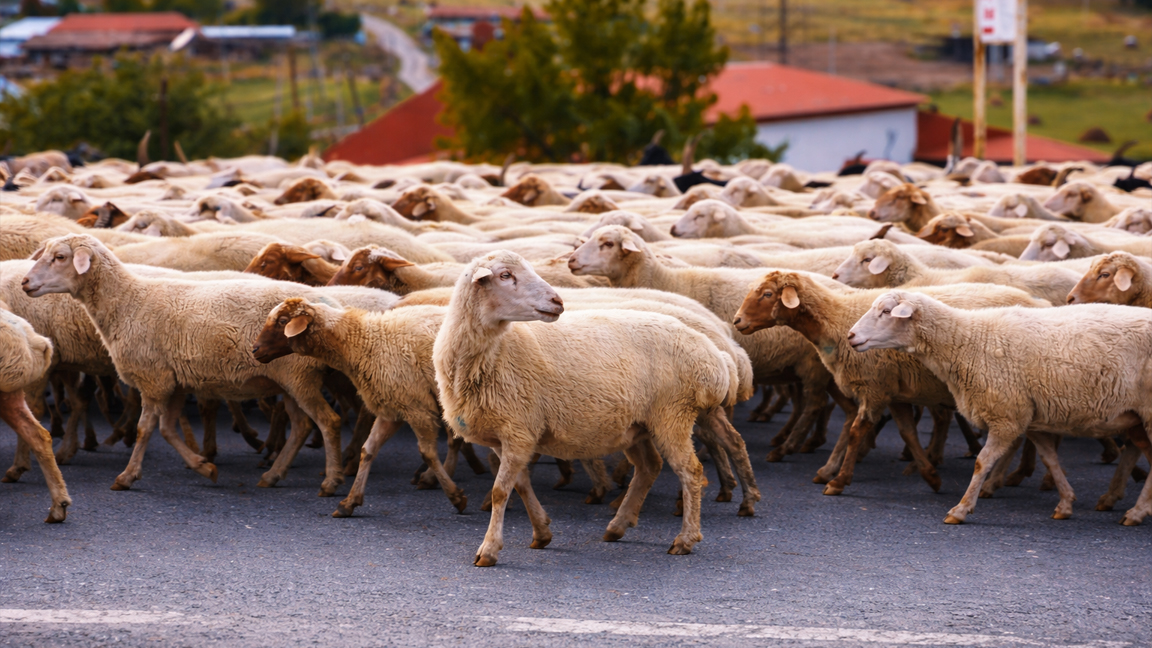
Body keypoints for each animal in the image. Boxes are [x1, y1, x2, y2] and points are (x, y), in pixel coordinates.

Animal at [20, 234, 395, 495]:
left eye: (59, 257)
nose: (24, 282)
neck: (128, 301)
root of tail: (326, 305)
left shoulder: (153, 378)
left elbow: (145, 429)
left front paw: (126, 476)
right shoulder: (172, 380)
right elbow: (167, 430)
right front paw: (203, 466)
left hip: (299, 376)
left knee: (328, 422)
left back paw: (330, 482)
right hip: (290, 379)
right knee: (303, 426)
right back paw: (273, 475)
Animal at [434, 250, 754, 565]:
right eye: (505, 275)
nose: (558, 301)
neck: (497, 352)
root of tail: (715, 354)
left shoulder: (518, 431)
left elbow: (500, 491)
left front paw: (488, 549)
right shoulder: (506, 436)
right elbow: (521, 484)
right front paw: (541, 532)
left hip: (672, 414)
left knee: (690, 471)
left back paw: (685, 539)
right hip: (640, 424)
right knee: (652, 466)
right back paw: (618, 526)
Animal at [732, 271, 1049, 494]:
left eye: (767, 293)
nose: (737, 321)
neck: (836, 319)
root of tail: (1038, 301)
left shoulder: (874, 386)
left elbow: (857, 430)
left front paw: (838, 481)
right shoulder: (893, 391)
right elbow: (907, 432)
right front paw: (930, 476)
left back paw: (1010, 477)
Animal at [847, 292, 1152, 525]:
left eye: (887, 311)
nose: (850, 336)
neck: (968, 341)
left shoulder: (1006, 416)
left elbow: (982, 462)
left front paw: (961, 509)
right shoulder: (1029, 416)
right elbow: (1050, 459)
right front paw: (1065, 503)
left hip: (1148, 413)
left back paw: (1135, 512)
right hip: (1135, 418)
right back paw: (1120, 502)